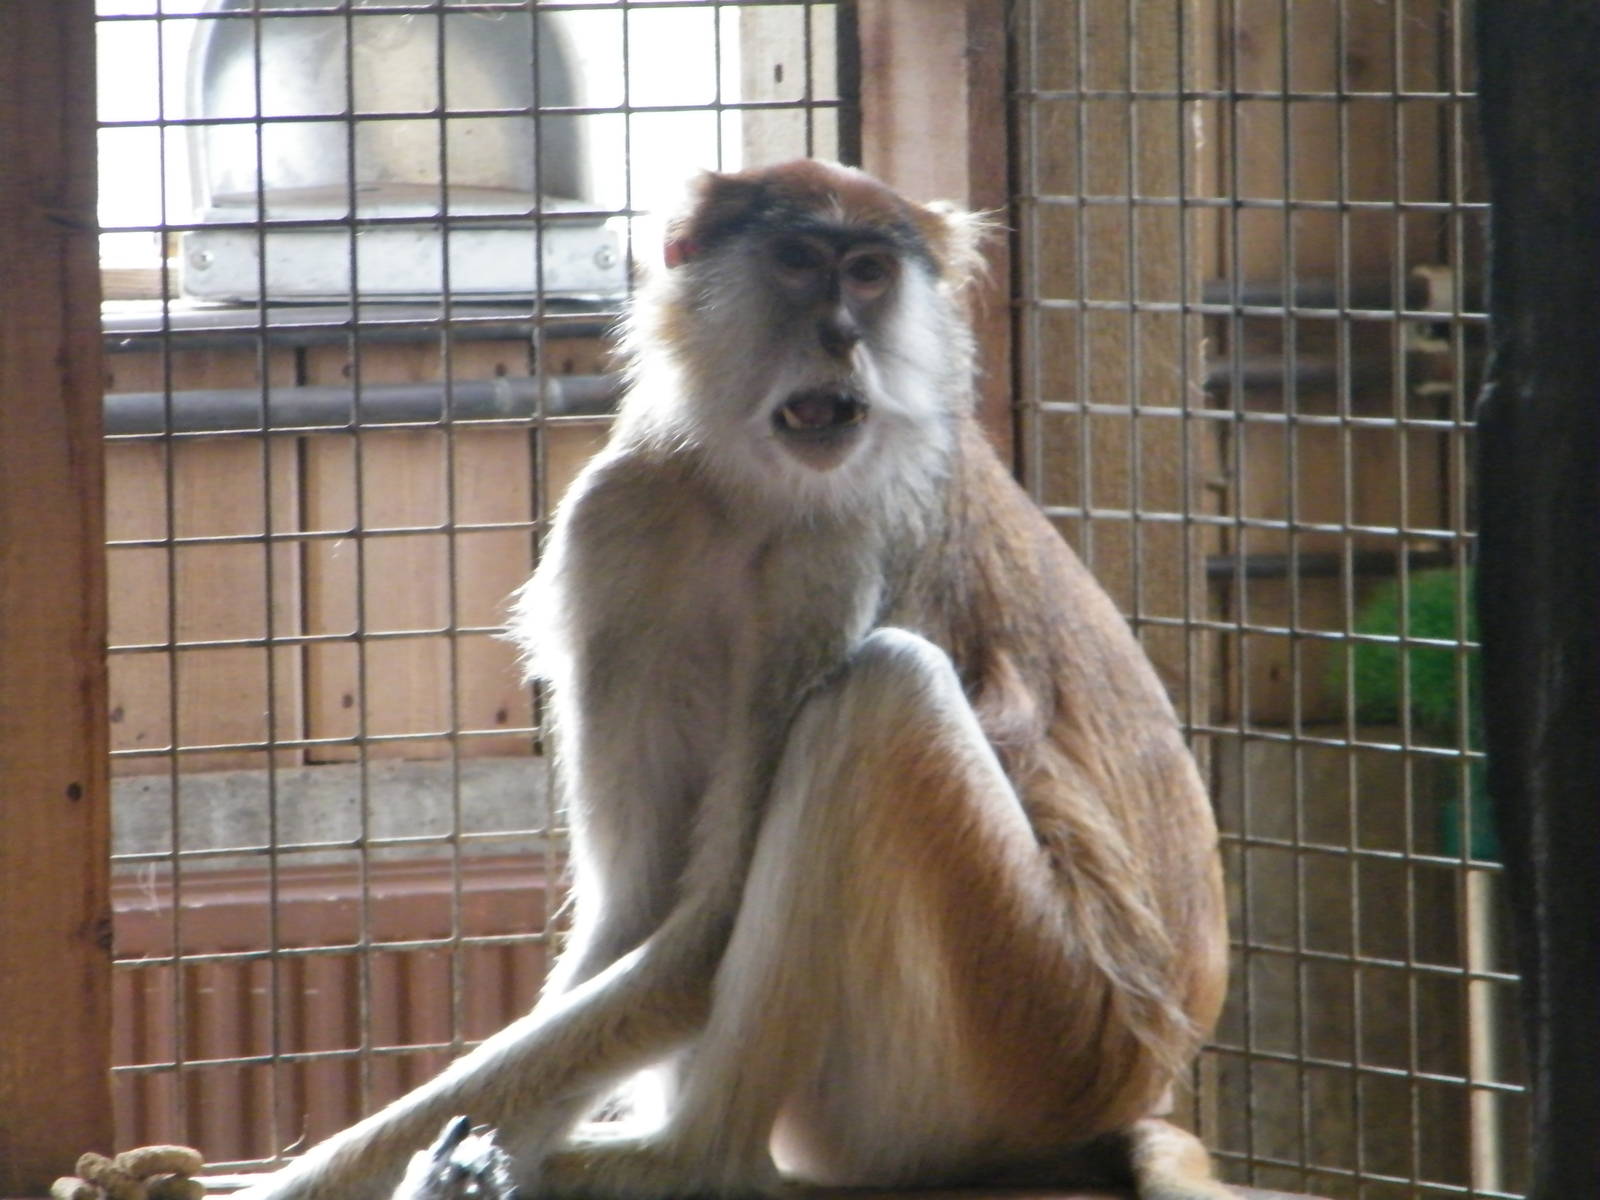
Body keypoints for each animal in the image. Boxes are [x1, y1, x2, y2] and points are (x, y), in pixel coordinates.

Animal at [230, 159, 1231, 1200]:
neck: (744, 493)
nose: (841, 333)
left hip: (1031, 1032)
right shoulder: (622, 519)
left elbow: (698, 943)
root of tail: (1140, 1076)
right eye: (797, 262)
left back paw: (690, 1158)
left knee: (882, 697)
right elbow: (635, 912)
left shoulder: (837, 550)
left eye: (870, 273)